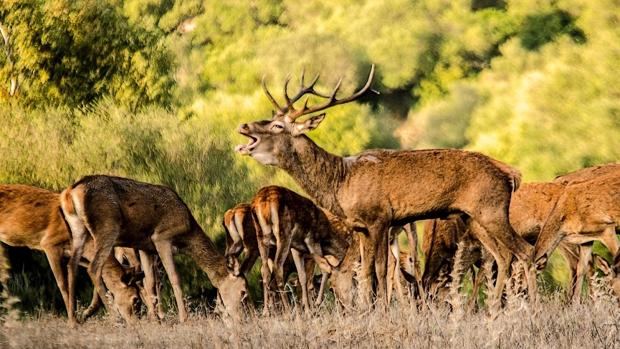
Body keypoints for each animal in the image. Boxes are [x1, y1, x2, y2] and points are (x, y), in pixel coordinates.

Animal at [0, 184, 140, 322]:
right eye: (135, 299)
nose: (136, 322)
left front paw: (85, 313)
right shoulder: (49, 244)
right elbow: (63, 285)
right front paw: (74, 320)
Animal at [61, 174, 248, 324]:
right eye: (243, 291)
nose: (244, 317)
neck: (186, 235)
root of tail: (70, 193)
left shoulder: (145, 247)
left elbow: (150, 281)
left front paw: (155, 318)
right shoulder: (161, 237)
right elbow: (174, 278)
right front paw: (184, 318)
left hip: (77, 230)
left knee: (71, 265)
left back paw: (73, 319)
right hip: (107, 228)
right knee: (93, 268)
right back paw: (114, 316)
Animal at [236, 65, 532, 304]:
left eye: (277, 126)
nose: (244, 125)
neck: (340, 183)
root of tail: (511, 175)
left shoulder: (378, 218)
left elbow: (376, 271)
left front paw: (376, 311)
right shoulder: (362, 227)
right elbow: (370, 271)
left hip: (492, 209)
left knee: (524, 251)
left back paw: (529, 309)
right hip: (473, 217)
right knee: (503, 256)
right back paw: (493, 309)